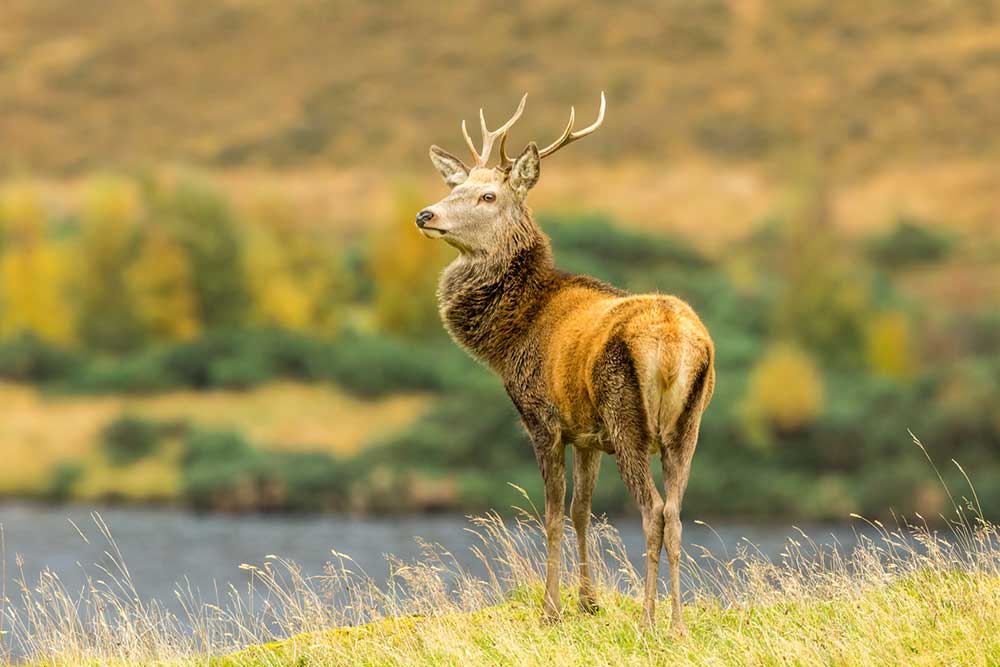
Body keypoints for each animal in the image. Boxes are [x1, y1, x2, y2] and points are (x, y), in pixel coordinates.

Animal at [415, 93, 715, 633]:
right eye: (456, 186)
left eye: (487, 196)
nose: (425, 214)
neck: (511, 336)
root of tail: (675, 343)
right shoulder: (586, 434)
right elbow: (581, 510)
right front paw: (588, 602)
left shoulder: (543, 420)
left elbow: (552, 515)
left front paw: (551, 608)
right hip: (688, 425)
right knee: (677, 514)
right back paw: (678, 623)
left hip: (627, 415)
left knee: (653, 511)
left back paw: (648, 620)